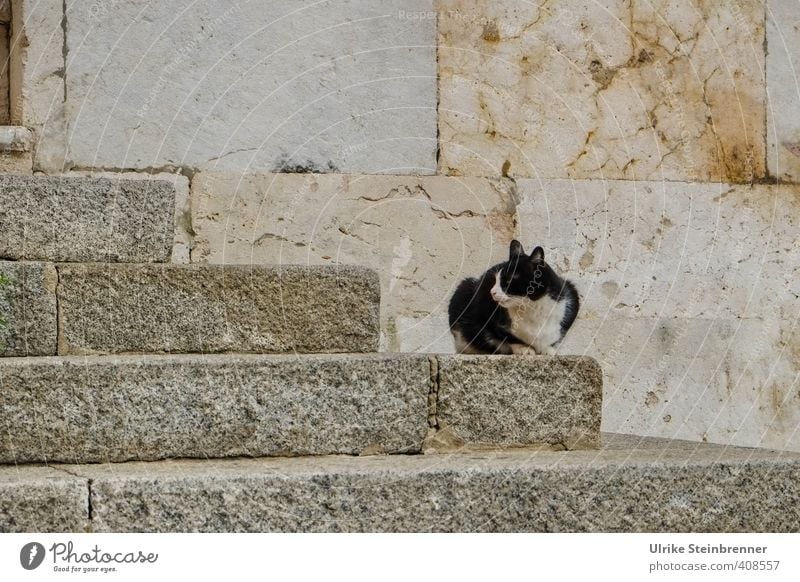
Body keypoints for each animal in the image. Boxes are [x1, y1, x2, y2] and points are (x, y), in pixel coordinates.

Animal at [446, 241, 580, 356]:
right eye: (495, 280)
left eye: (509, 279)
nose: (492, 292)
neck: (531, 308)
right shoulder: (482, 308)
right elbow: (505, 336)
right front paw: (524, 348)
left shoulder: (571, 297)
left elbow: (555, 338)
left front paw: (548, 349)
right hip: (464, 287)